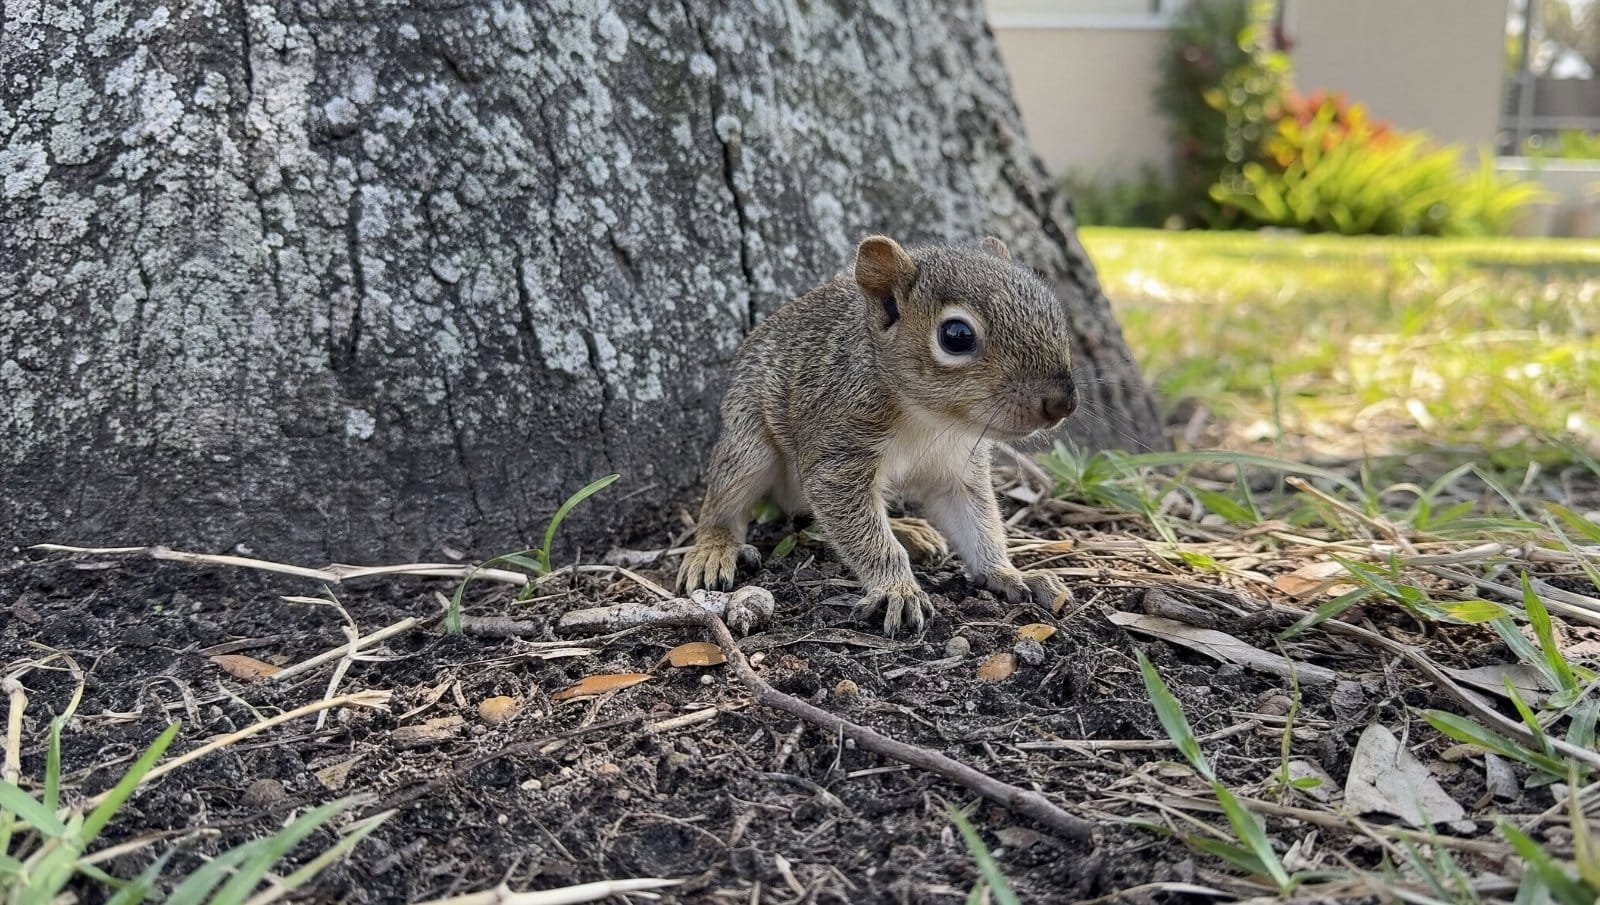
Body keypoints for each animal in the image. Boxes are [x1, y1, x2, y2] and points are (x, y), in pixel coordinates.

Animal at [677, 234, 1078, 634]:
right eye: (957, 336)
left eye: (1053, 311)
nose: (1062, 403)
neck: (930, 420)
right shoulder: (840, 454)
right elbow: (865, 534)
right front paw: (897, 590)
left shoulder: (958, 469)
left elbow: (980, 527)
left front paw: (1008, 573)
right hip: (748, 443)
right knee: (723, 505)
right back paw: (713, 548)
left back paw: (911, 530)